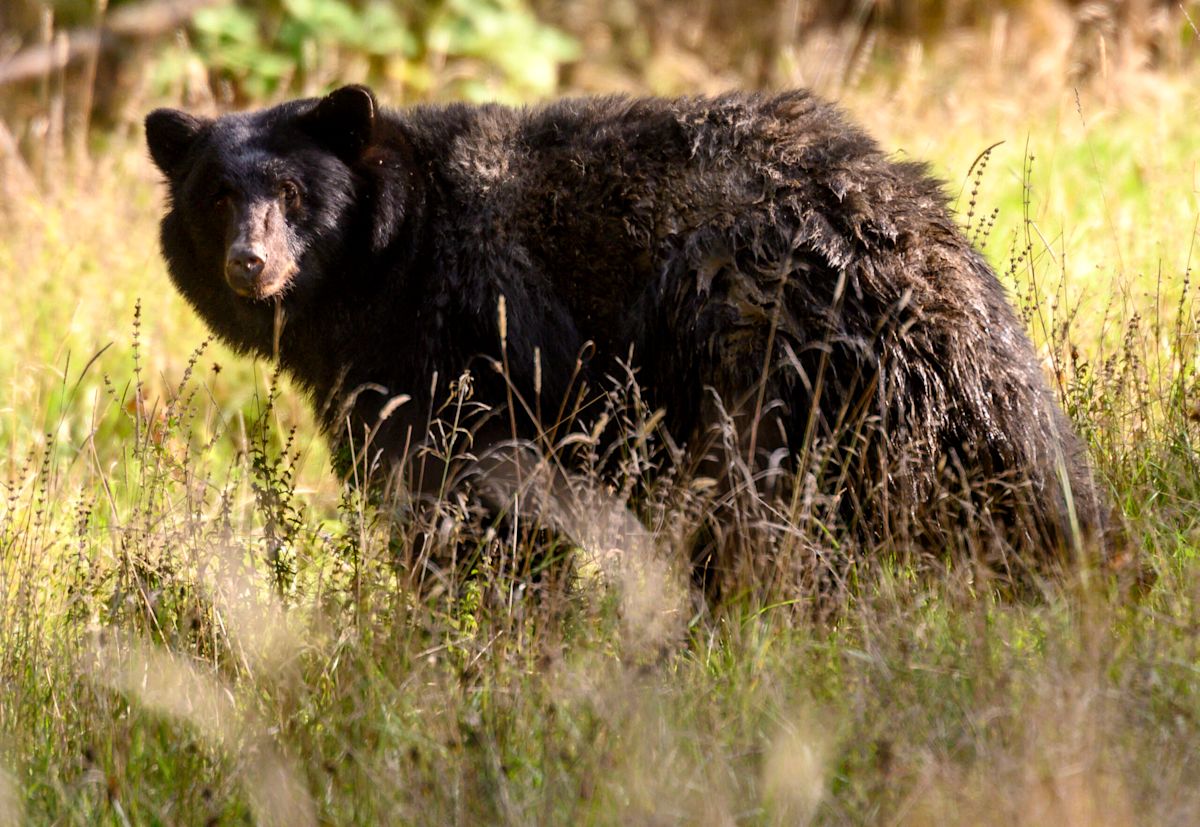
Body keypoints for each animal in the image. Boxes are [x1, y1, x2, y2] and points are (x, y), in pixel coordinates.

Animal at [144, 85, 1108, 585]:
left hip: (750, 355)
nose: (250, 263)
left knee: (758, 511)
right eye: (216, 196)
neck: (395, 258)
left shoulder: (469, 349)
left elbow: (472, 512)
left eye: (296, 193)